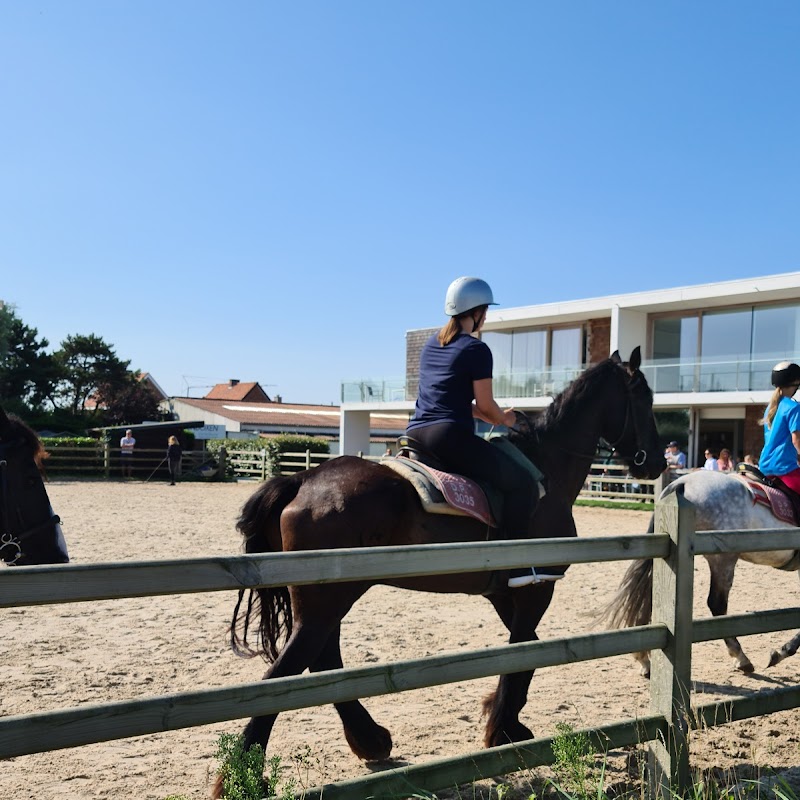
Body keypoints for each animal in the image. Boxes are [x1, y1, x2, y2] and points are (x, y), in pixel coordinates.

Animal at [211, 348, 664, 792]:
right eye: (646, 399)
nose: (657, 463)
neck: (546, 467)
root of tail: (301, 480)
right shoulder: (536, 587)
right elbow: (523, 649)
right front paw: (502, 729)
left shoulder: (504, 594)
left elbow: (525, 649)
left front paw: (504, 720)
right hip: (326, 602)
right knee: (290, 673)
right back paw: (244, 777)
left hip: (327, 599)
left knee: (322, 662)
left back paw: (369, 739)